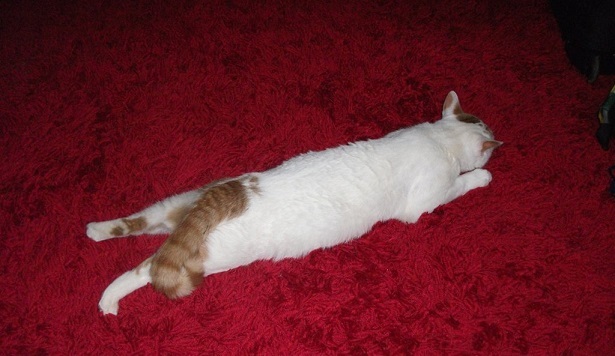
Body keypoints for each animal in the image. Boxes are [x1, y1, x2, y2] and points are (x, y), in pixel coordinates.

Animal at [86, 91, 500, 314]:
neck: (439, 138)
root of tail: (228, 194)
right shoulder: (428, 199)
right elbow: (462, 184)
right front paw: (481, 176)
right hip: (212, 257)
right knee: (147, 268)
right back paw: (108, 299)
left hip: (175, 206)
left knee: (139, 225)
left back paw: (96, 230)